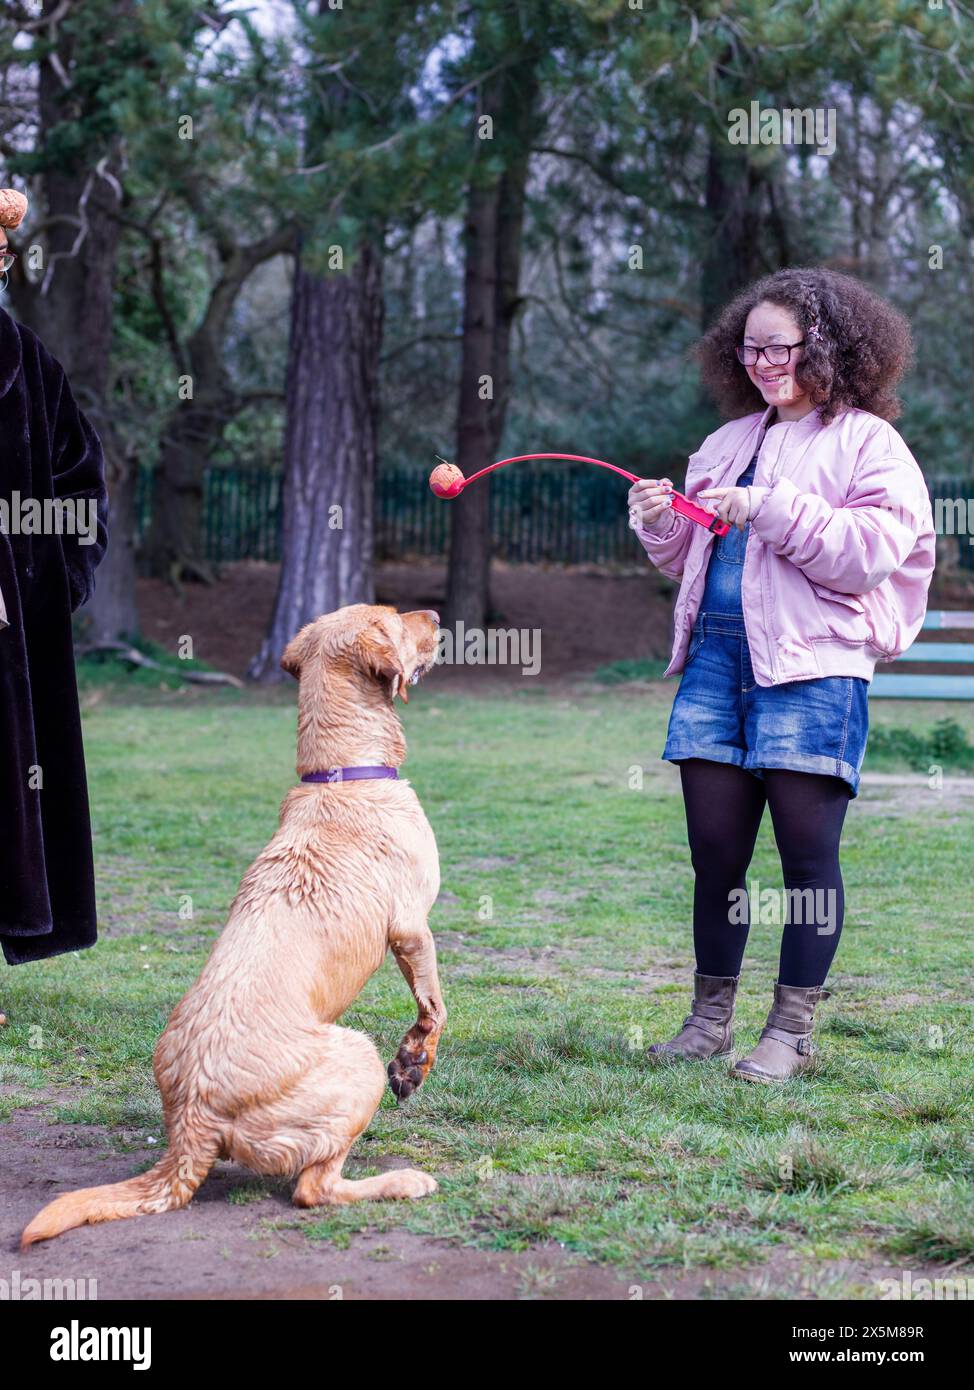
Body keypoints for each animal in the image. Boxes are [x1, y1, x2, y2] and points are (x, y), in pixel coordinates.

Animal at [23, 603, 444, 1245]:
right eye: (397, 618)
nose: (438, 615)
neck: (342, 773)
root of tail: (191, 1125)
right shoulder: (412, 928)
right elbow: (434, 1005)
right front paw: (415, 1062)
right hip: (356, 1056)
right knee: (313, 1190)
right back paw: (402, 1181)